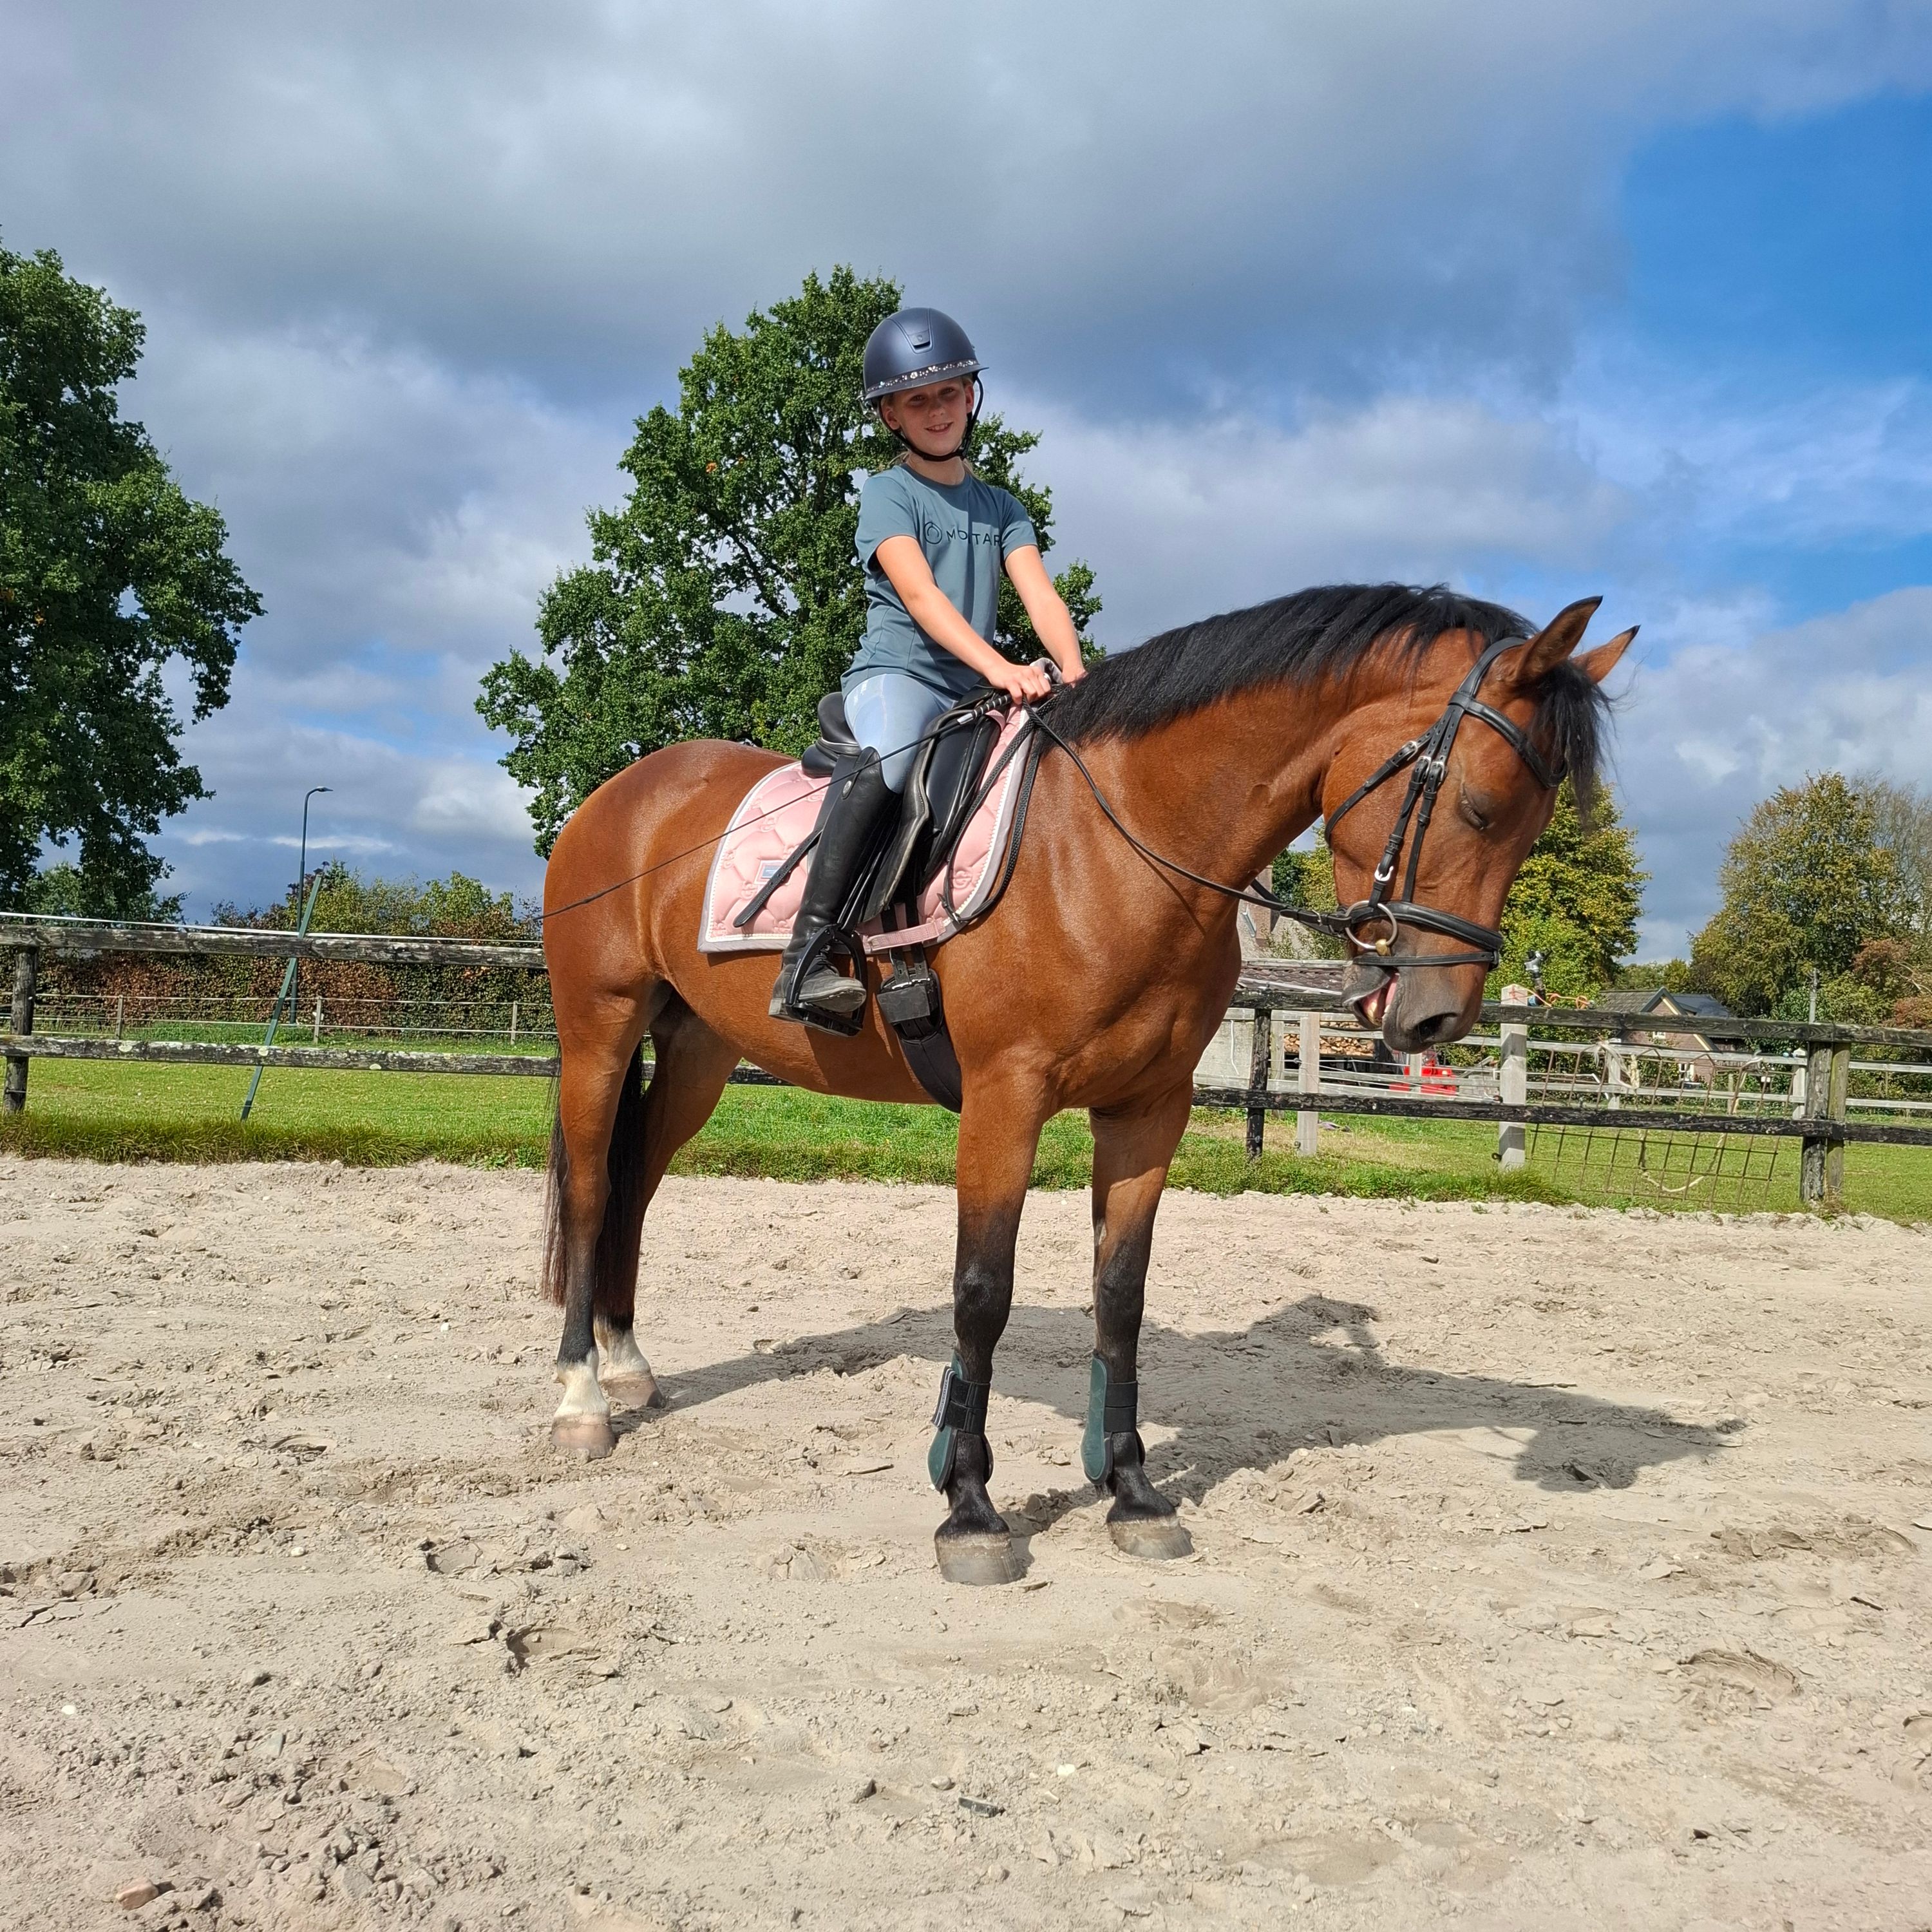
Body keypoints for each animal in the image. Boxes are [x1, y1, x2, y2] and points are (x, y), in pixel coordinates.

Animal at [536, 582, 1633, 1584]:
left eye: (1533, 828)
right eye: (1479, 807)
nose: (1435, 1019)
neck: (1120, 842)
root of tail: (623, 793)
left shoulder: (1149, 1110)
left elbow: (1121, 1294)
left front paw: (1133, 1491)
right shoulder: (1005, 1100)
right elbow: (983, 1291)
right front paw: (969, 1505)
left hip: (697, 1053)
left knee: (637, 1182)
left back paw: (629, 1367)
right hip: (598, 1032)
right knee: (592, 1191)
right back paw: (581, 1400)